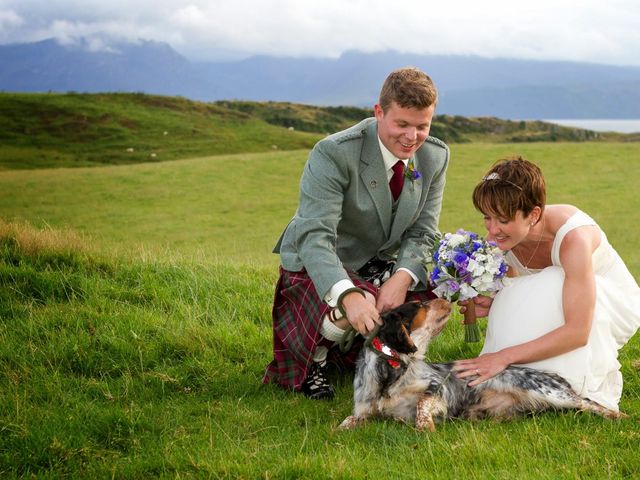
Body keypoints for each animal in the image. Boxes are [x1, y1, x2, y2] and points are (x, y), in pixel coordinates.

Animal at [340, 300, 624, 432]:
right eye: (420, 305)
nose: (445, 297)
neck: (391, 370)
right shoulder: (364, 410)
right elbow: (348, 420)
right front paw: (338, 430)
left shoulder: (438, 388)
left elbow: (422, 403)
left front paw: (425, 426)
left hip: (551, 392)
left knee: (590, 402)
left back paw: (620, 417)